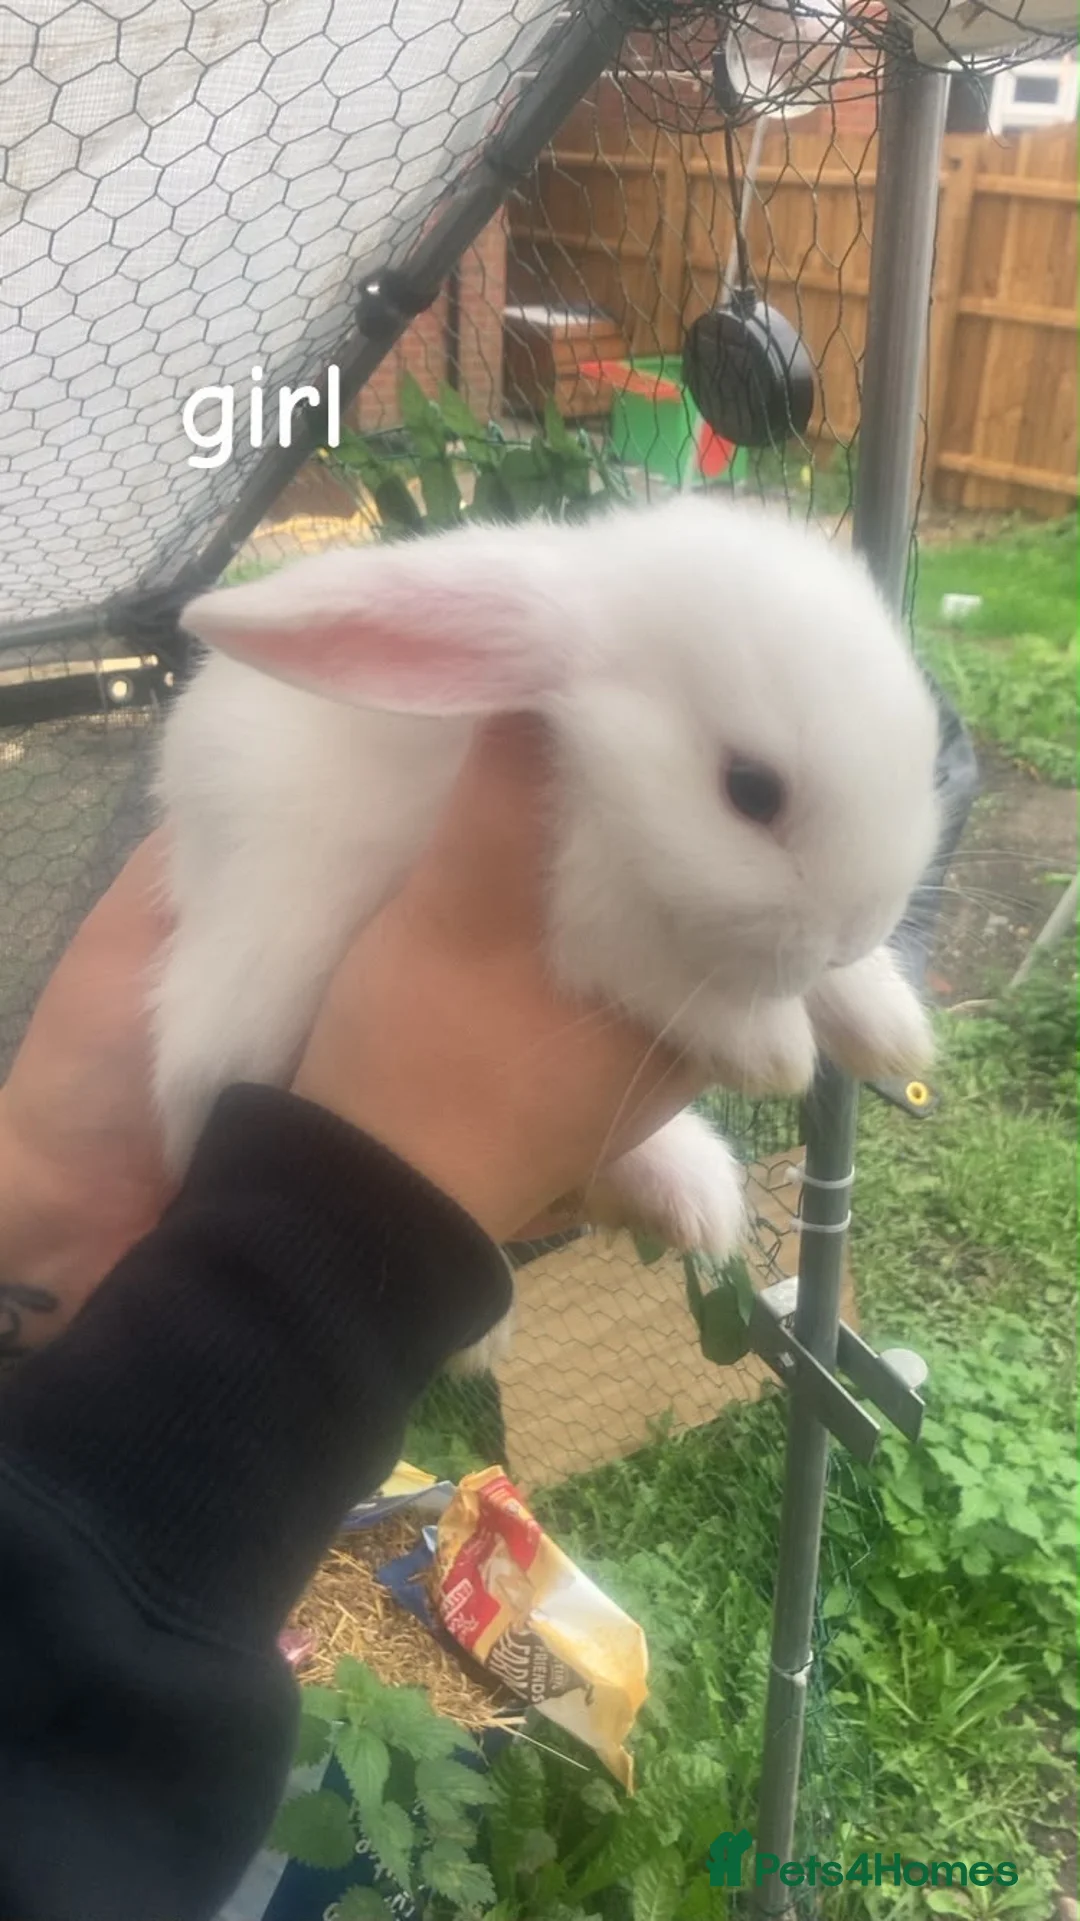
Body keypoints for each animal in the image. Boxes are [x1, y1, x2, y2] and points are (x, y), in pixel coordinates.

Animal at [153, 493, 940, 1371]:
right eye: (751, 789)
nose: (857, 930)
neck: (589, 773)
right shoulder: (588, 926)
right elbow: (666, 976)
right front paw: (768, 1047)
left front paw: (889, 1026)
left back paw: (691, 1198)